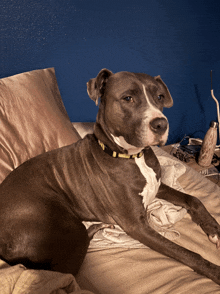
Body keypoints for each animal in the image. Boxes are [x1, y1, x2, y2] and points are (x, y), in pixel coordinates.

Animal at [0, 69, 220, 284]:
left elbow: (193, 199)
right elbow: (187, 253)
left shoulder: (157, 186)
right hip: (68, 227)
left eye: (159, 97)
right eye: (128, 98)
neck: (134, 156)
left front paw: (214, 229)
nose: (161, 124)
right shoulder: (137, 226)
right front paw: (213, 270)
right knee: (66, 269)